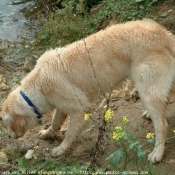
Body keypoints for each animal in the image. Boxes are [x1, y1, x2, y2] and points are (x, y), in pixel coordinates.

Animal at [2, 18, 175, 163]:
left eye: (7, 124)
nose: (9, 136)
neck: (38, 85)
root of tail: (166, 35)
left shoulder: (80, 108)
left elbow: (69, 132)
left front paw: (61, 149)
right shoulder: (61, 105)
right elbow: (55, 122)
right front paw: (47, 133)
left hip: (146, 88)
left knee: (162, 124)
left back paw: (157, 153)